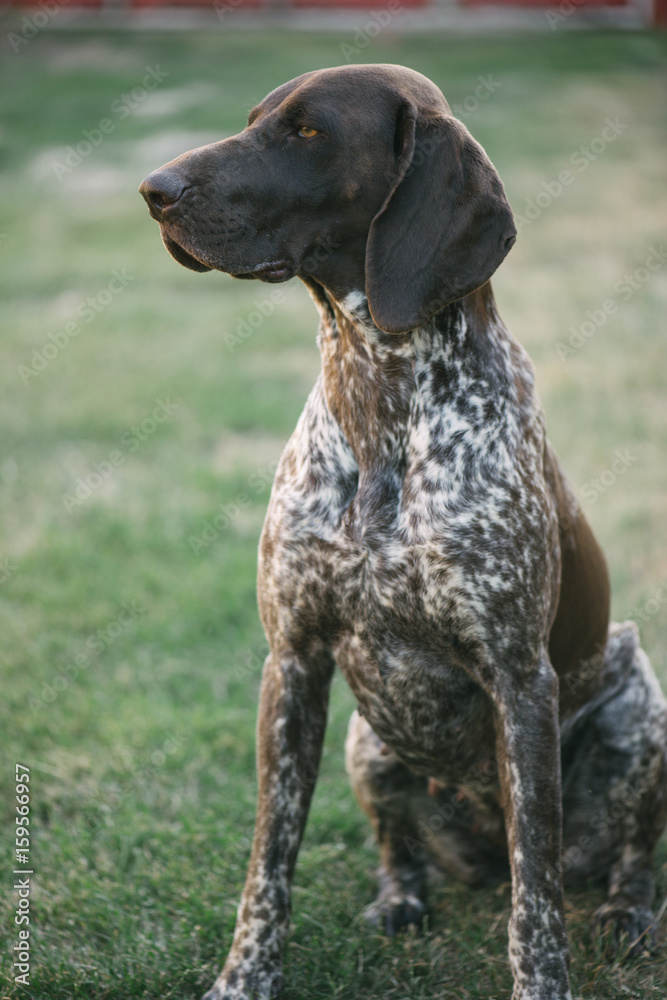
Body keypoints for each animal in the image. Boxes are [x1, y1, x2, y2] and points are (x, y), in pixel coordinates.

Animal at [141, 64, 667, 1000]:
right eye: (254, 120)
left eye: (307, 132)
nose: (153, 190)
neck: (376, 391)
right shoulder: (294, 664)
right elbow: (268, 863)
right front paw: (242, 980)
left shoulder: (519, 681)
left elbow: (536, 898)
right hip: (364, 741)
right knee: (401, 847)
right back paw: (398, 899)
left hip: (641, 706)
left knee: (622, 854)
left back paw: (626, 911)